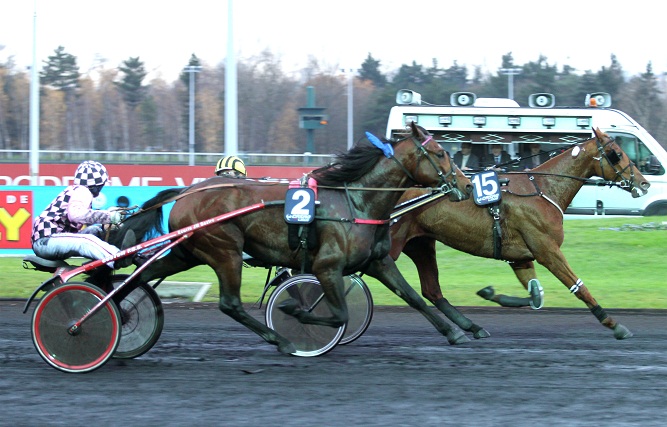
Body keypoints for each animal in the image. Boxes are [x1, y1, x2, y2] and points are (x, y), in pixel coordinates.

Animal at [117, 123, 472, 354]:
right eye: (440, 153)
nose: (467, 185)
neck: (356, 201)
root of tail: (186, 193)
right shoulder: (327, 266)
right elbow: (339, 313)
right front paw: (296, 314)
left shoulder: (377, 261)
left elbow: (412, 297)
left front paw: (457, 333)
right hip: (225, 250)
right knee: (230, 303)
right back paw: (281, 341)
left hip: (188, 252)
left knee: (141, 277)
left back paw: (119, 314)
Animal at [388, 128, 648, 342]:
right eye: (616, 153)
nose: (644, 183)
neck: (543, 189)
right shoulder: (547, 250)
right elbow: (577, 286)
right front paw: (613, 324)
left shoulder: (520, 258)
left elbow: (536, 295)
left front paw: (490, 293)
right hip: (393, 245)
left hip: (421, 245)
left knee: (432, 291)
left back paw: (470, 328)